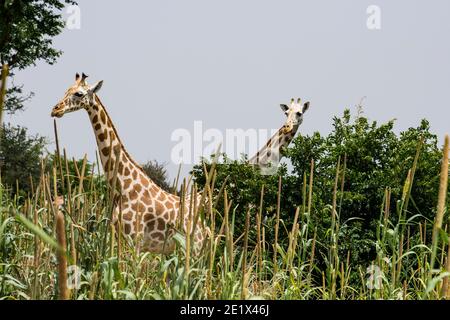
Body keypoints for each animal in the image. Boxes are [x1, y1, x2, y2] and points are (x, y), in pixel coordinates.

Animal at [51, 73, 207, 255]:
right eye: (66, 90)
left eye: (79, 94)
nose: (55, 109)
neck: (123, 186)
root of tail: (204, 225)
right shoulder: (119, 237)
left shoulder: (135, 239)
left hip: (195, 248)